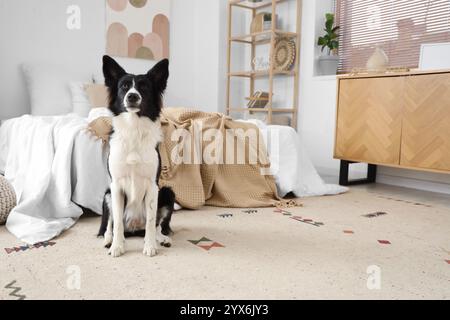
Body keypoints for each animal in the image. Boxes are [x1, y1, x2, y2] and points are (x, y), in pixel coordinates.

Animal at [98, 55, 174, 258]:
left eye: (144, 87)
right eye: (124, 86)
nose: (132, 96)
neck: (134, 127)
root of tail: (133, 229)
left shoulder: (153, 186)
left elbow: (151, 221)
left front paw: (150, 246)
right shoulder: (115, 186)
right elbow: (116, 221)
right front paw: (117, 246)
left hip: (167, 192)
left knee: (157, 225)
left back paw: (161, 239)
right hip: (107, 194)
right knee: (110, 224)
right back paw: (108, 240)